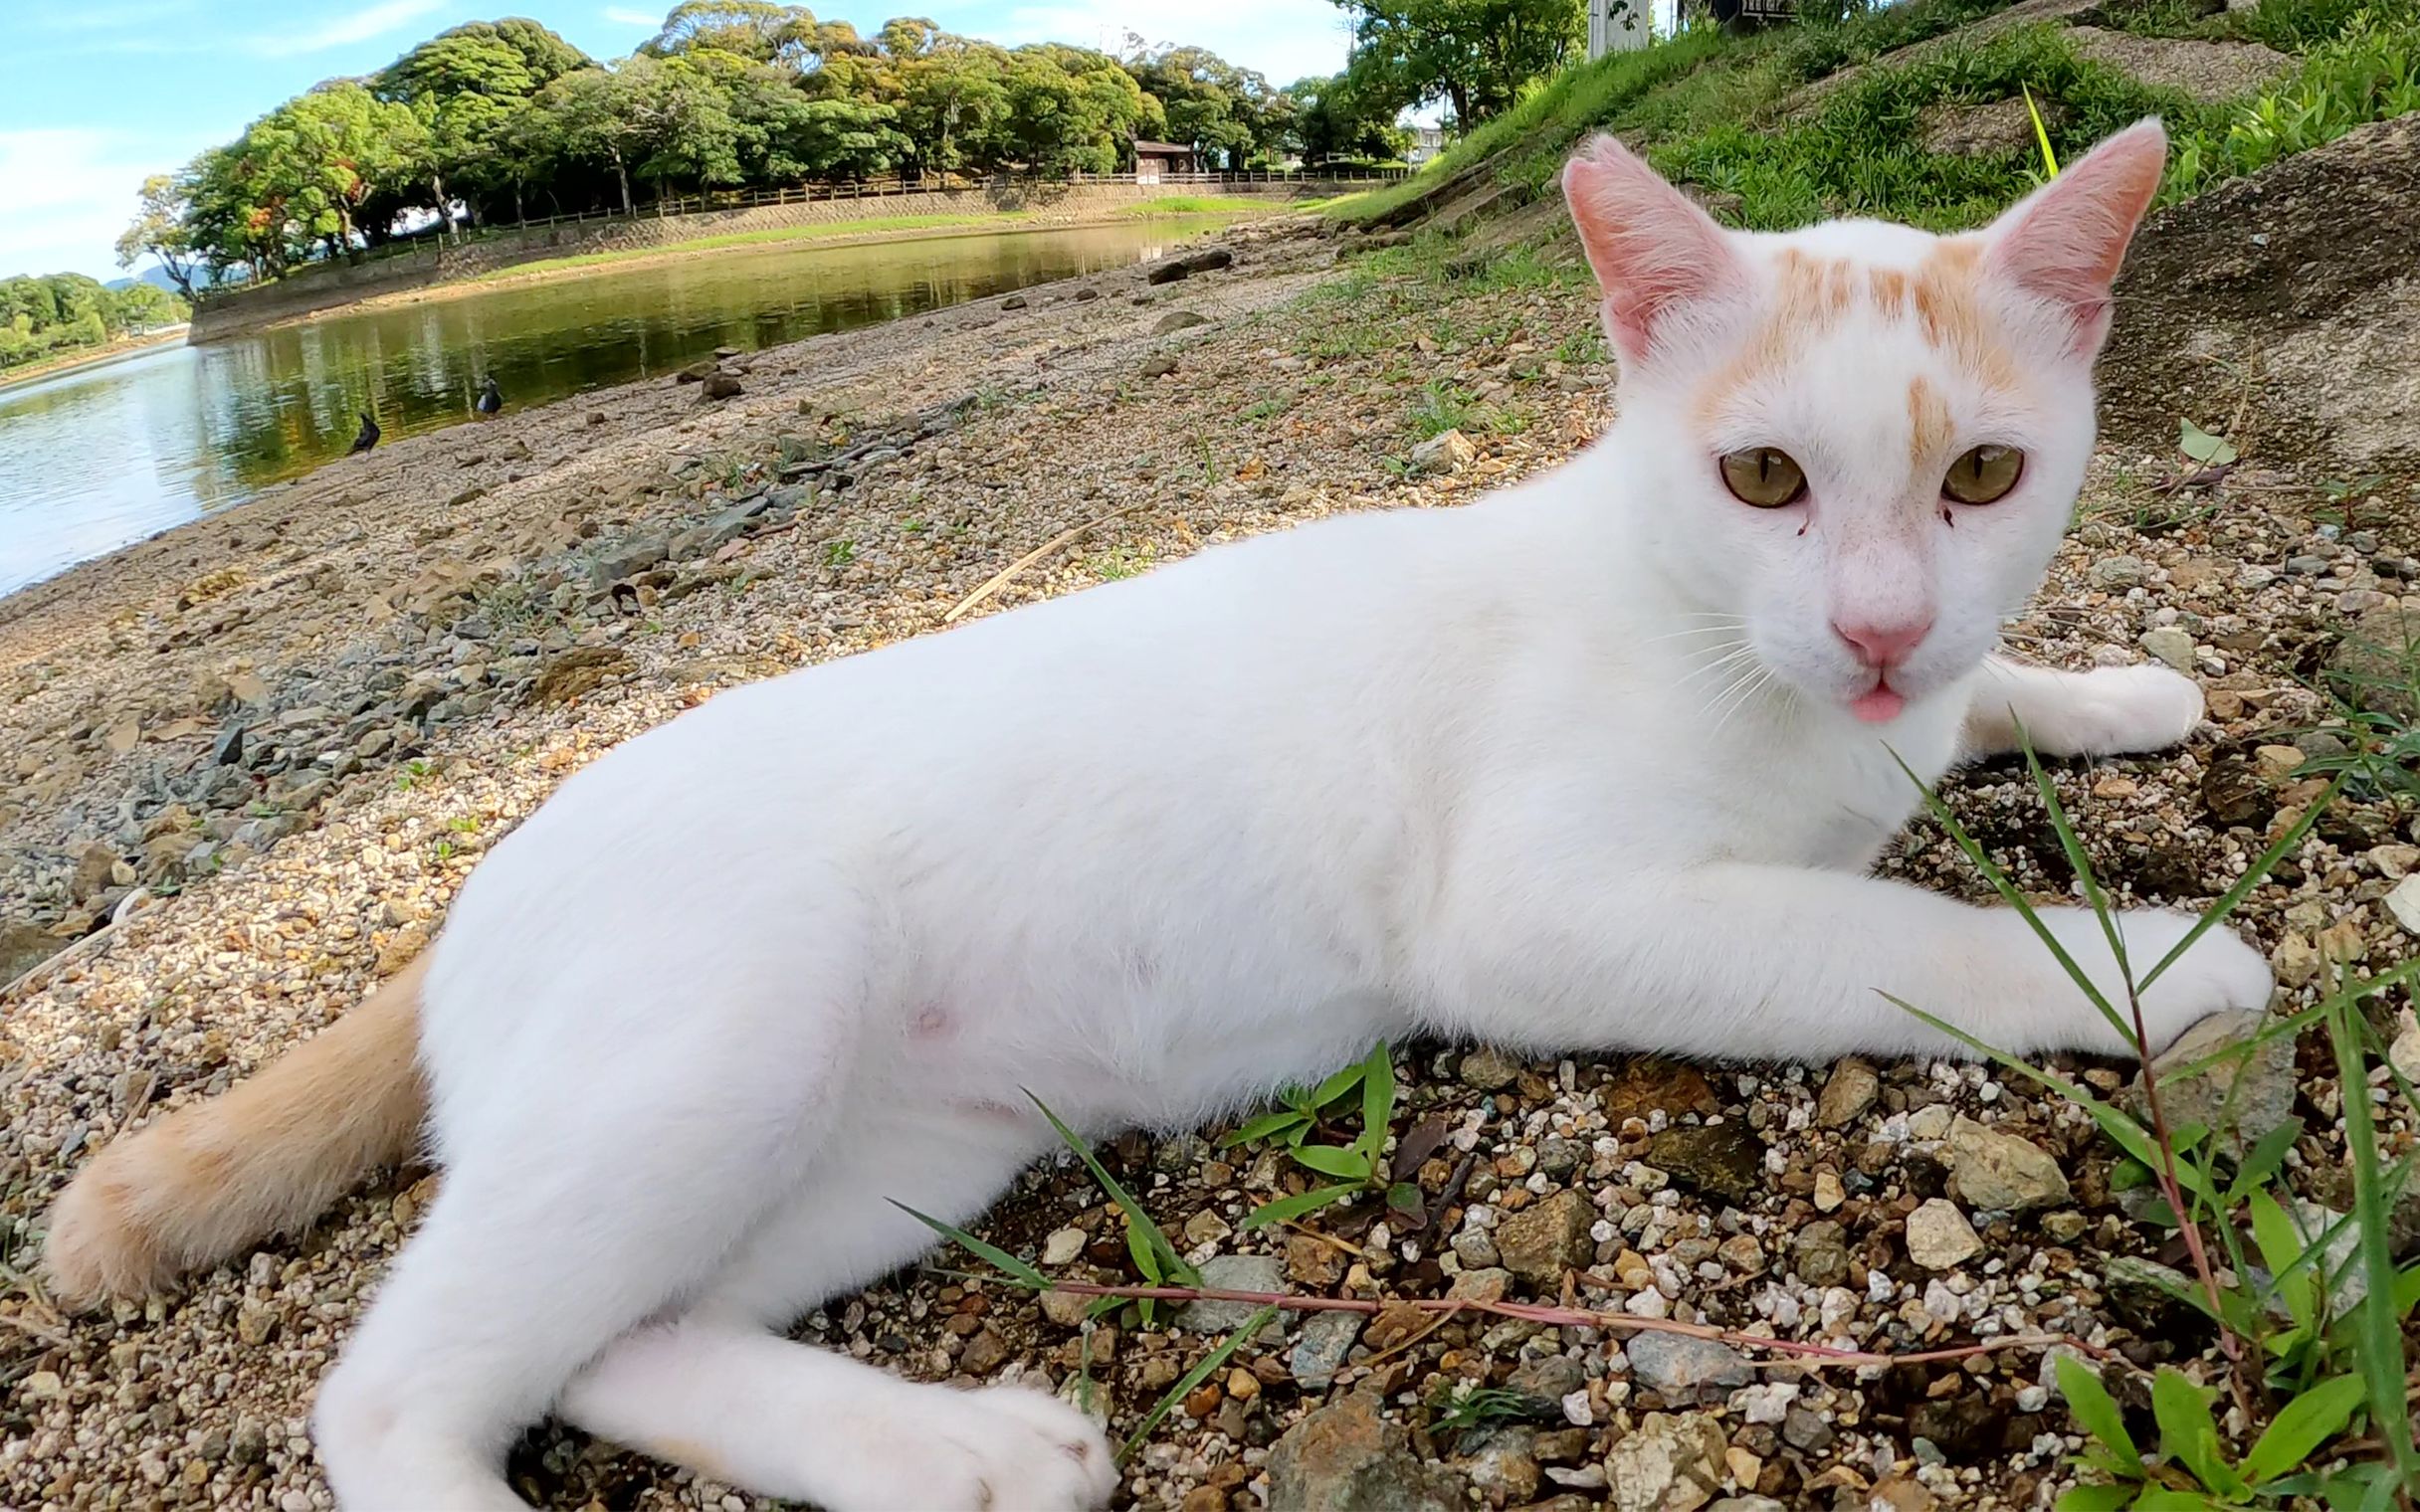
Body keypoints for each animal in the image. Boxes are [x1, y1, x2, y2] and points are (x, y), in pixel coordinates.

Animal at [38, 120, 2265, 1509]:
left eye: (1982, 478)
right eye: (1764, 482)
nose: (1877, 623)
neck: (1732, 649)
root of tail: (480, 880)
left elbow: (1984, 703)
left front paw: (2109, 690)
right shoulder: (1543, 915)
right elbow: (1899, 936)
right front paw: (2147, 958)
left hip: (886, 1151)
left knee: (604, 1341)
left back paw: (952, 1451)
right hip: (719, 1037)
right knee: (401, 1390)